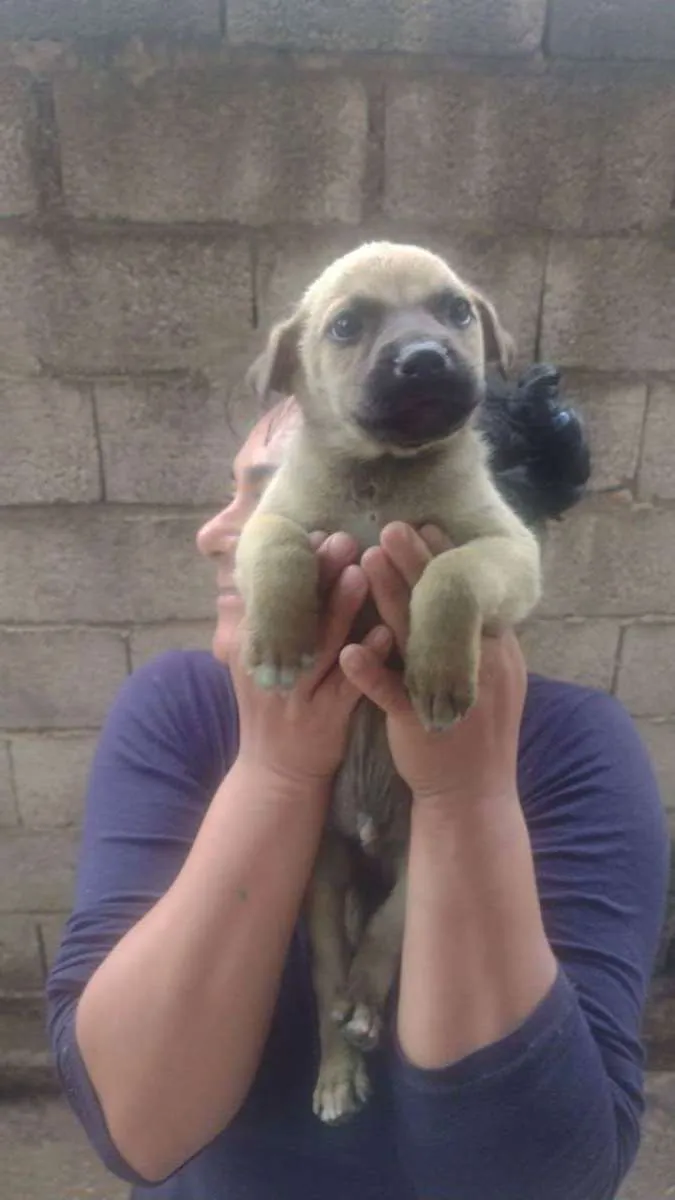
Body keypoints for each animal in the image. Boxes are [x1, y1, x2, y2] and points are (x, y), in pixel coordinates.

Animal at [234, 241, 538, 1123]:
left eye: (456, 312)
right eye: (345, 327)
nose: (425, 360)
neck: (381, 476)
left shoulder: (509, 551)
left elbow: (451, 574)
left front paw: (436, 673)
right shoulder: (268, 521)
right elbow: (281, 549)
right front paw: (279, 639)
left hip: (418, 859)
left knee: (384, 942)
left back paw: (368, 1010)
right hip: (319, 886)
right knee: (329, 979)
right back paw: (338, 1067)